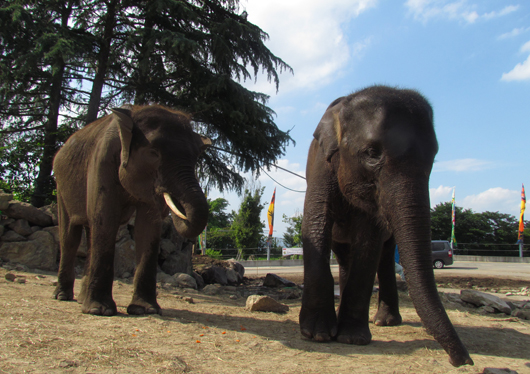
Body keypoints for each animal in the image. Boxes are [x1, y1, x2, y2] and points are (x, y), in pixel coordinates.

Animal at [52, 104, 209, 316]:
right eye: (153, 153)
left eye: (195, 158)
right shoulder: (102, 161)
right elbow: (106, 218)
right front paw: (100, 311)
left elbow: (147, 227)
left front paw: (145, 310)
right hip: (61, 186)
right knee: (70, 236)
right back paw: (63, 297)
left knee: (90, 233)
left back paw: (82, 300)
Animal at [300, 85, 472, 368]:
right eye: (372, 153)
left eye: (433, 158)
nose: (465, 361)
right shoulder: (319, 165)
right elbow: (315, 224)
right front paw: (317, 335)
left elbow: (369, 240)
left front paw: (352, 339)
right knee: (346, 256)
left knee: (383, 255)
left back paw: (385, 321)